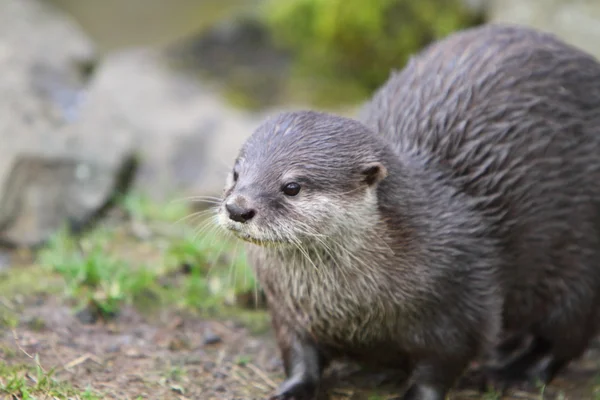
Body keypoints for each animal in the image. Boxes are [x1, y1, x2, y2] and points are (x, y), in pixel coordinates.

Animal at [216, 24, 600, 400]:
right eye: (236, 173)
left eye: (292, 186)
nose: (237, 208)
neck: (351, 306)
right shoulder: (287, 310)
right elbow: (299, 356)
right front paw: (291, 389)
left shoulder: (460, 312)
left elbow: (439, 369)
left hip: (578, 258)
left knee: (567, 334)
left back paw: (513, 371)